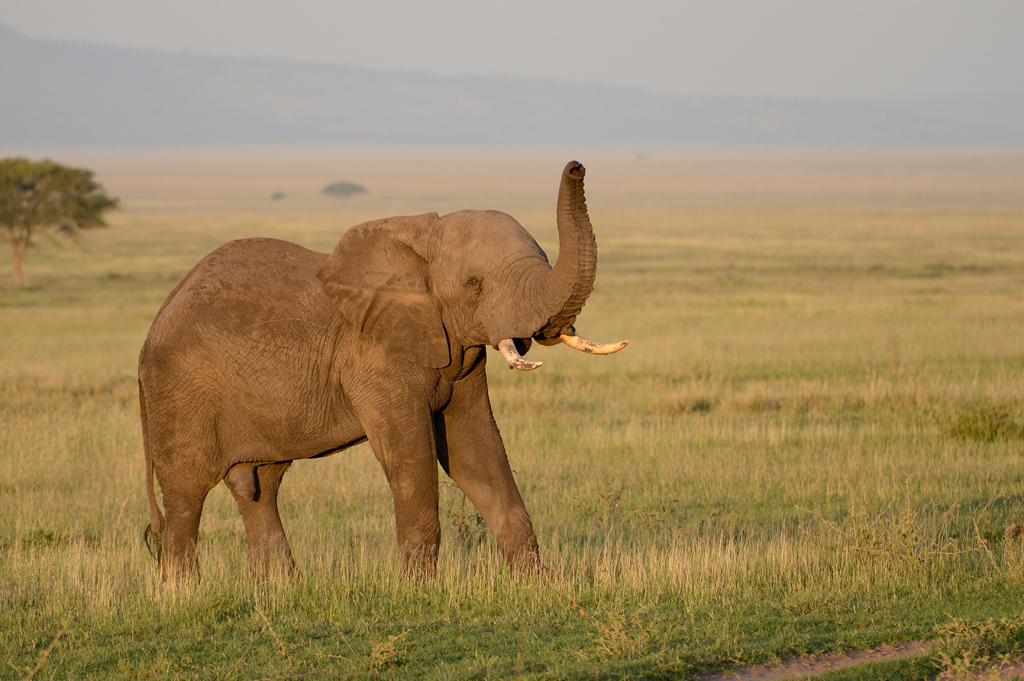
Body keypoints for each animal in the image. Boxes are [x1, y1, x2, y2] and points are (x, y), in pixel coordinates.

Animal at [139, 161, 626, 581]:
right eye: (474, 284)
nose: (576, 166)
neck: (422, 239)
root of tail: (155, 322)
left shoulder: (459, 355)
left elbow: (476, 453)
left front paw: (545, 585)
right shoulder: (373, 358)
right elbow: (412, 456)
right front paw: (420, 591)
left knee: (260, 486)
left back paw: (282, 589)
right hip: (179, 392)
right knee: (185, 496)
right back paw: (183, 593)